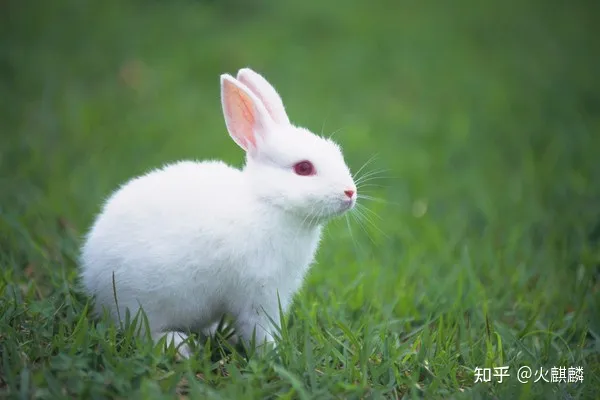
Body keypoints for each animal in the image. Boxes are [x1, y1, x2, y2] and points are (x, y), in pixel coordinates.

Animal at [82, 67, 358, 358]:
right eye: (304, 168)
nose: (350, 192)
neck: (268, 202)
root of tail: (91, 276)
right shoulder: (259, 294)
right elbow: (258, 329)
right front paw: (274, 353)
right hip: (142, 303)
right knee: (142, 331)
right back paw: (180, 346)